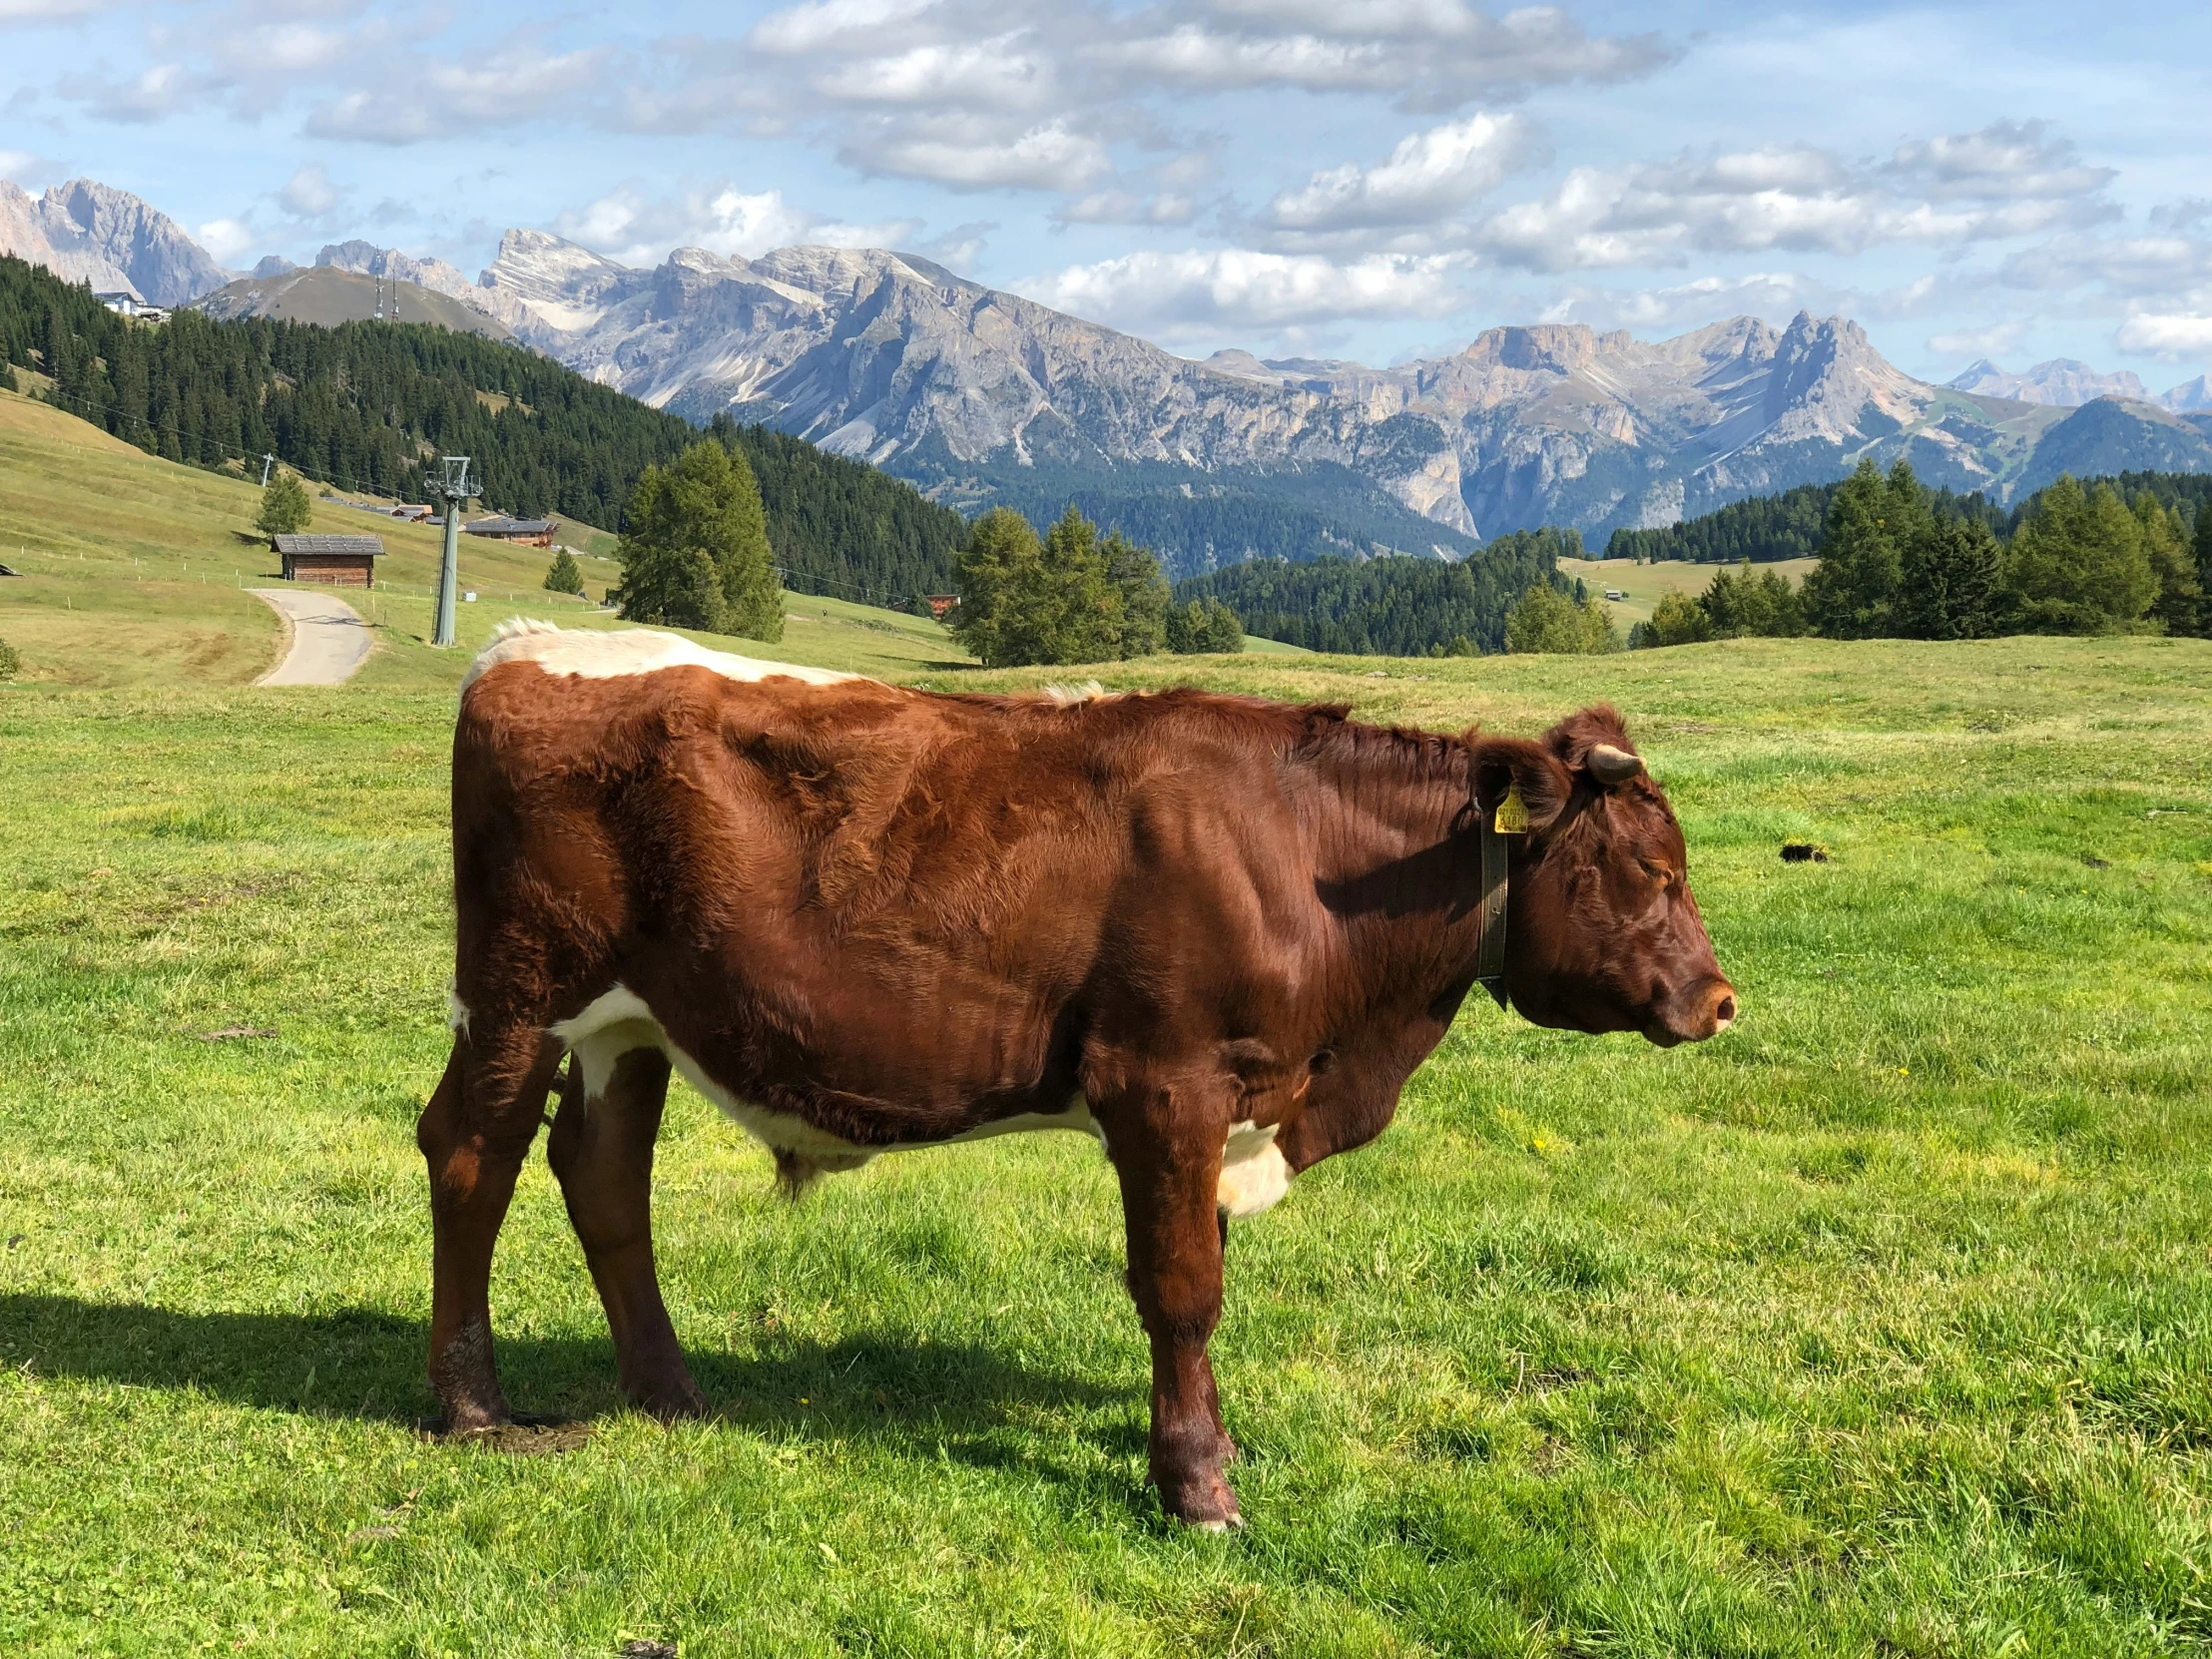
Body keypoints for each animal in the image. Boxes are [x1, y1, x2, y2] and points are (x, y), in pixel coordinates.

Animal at [422, 619, 1734, 1530]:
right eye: (1653, 869)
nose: (1720, 1001)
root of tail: (521, 653)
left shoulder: (1225, 1104)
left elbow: (1198, 1269)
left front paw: (1202, 1447)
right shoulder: (1165, 1085)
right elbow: (1182, 1287)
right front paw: (1197, 1487)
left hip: (628, 1027)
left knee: (603, 1178)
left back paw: (670, 1392)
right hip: (519, 994)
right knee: (471, 1157)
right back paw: (473, 1408)